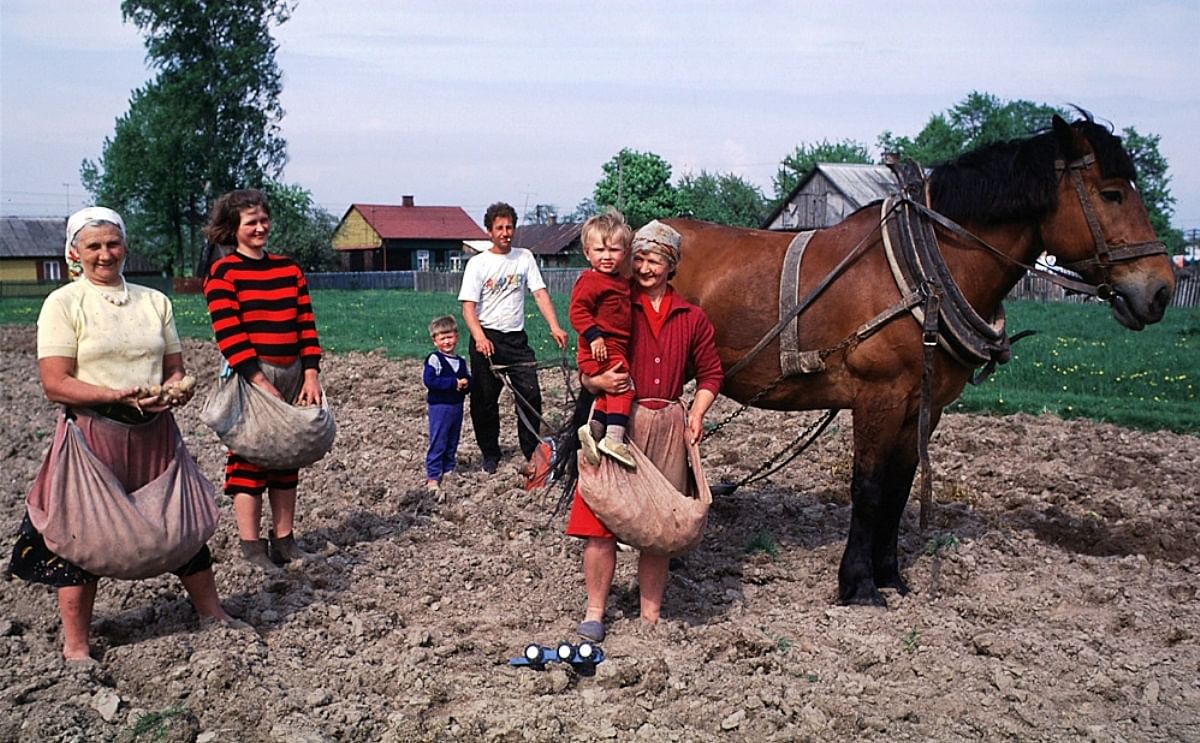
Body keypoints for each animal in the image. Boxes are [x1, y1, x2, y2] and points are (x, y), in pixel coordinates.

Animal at [672, 114, 1176, 604]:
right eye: (1111, 193)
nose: (1160, 290)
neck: (923, 270)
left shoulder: (925, 406)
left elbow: (899, 489)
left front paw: (891, 577)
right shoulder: (879, 397)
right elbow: (869, 488)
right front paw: (859, 586)